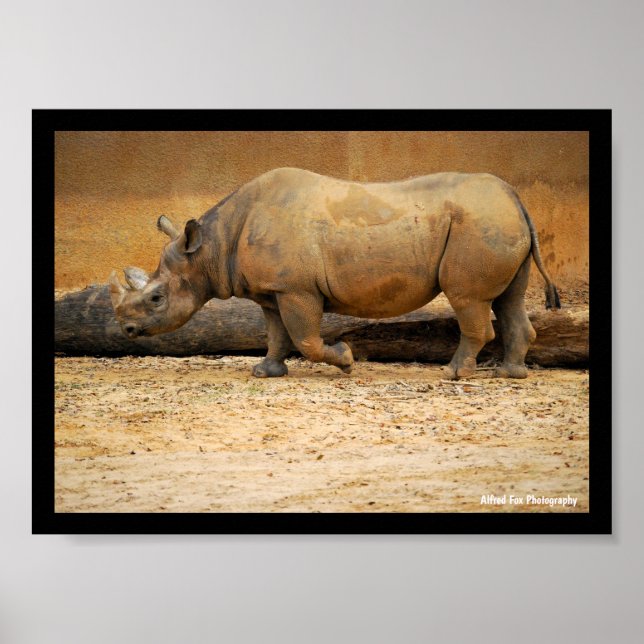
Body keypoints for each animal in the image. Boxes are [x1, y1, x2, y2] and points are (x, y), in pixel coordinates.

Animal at [110, 167, 560, 379]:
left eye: (156, 298)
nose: (127, 331)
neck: (210, 248)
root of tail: (515, 197)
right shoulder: (273, 290)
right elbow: (276, 335)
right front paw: (266, 372)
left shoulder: (296, 288)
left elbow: (306, 339)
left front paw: (345, 360)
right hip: (497, 221)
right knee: (509, 300)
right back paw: (509, 374)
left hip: (481, 223)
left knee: (469, 299)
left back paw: (452, 374)